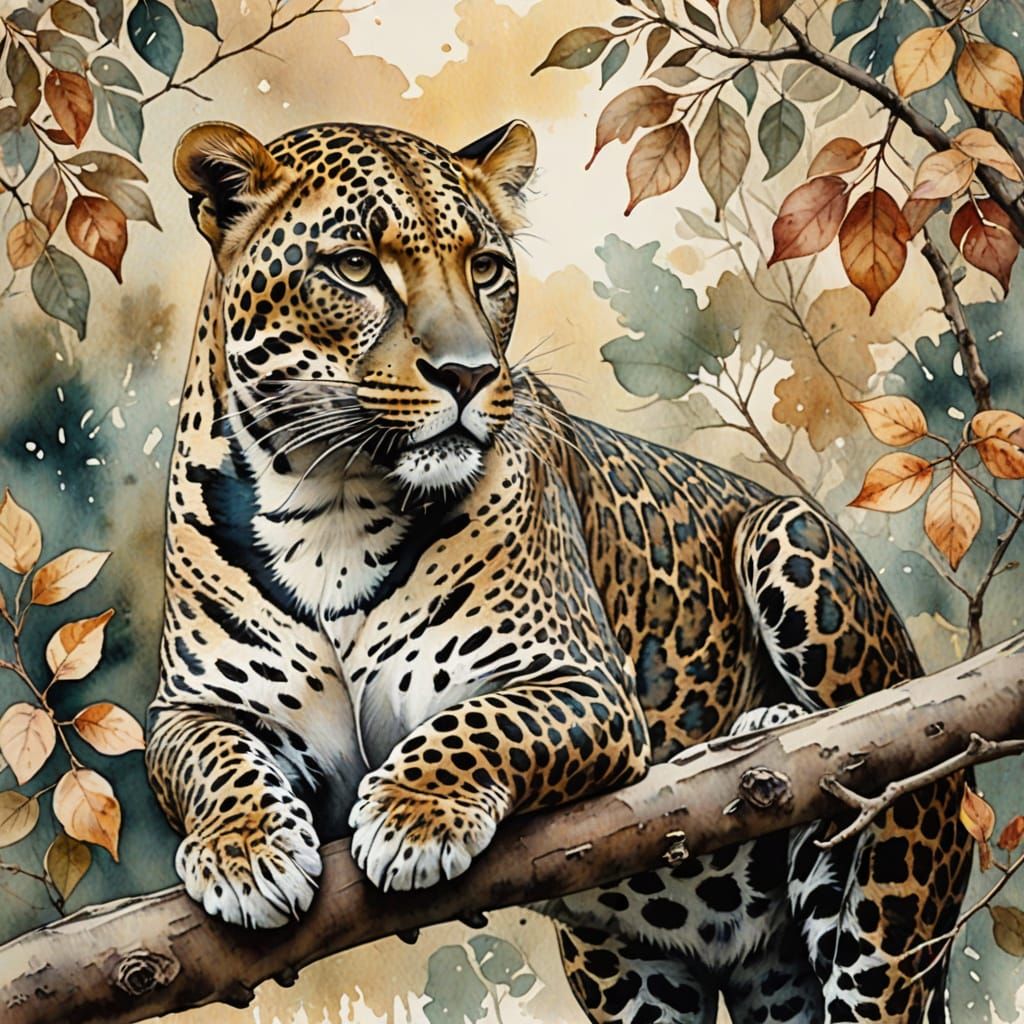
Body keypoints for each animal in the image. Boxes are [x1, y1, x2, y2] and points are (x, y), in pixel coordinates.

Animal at [145, 116, 971, 1023]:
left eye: (485, 268)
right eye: (356, 267)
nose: (469, 374)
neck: (333, 503)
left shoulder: (583, 683)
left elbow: (476, 724)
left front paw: (413, 813)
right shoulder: (191, 707)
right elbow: (209, 759)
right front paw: (245, 853)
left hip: (822, 647)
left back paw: (768, 734)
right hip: (639, 976)